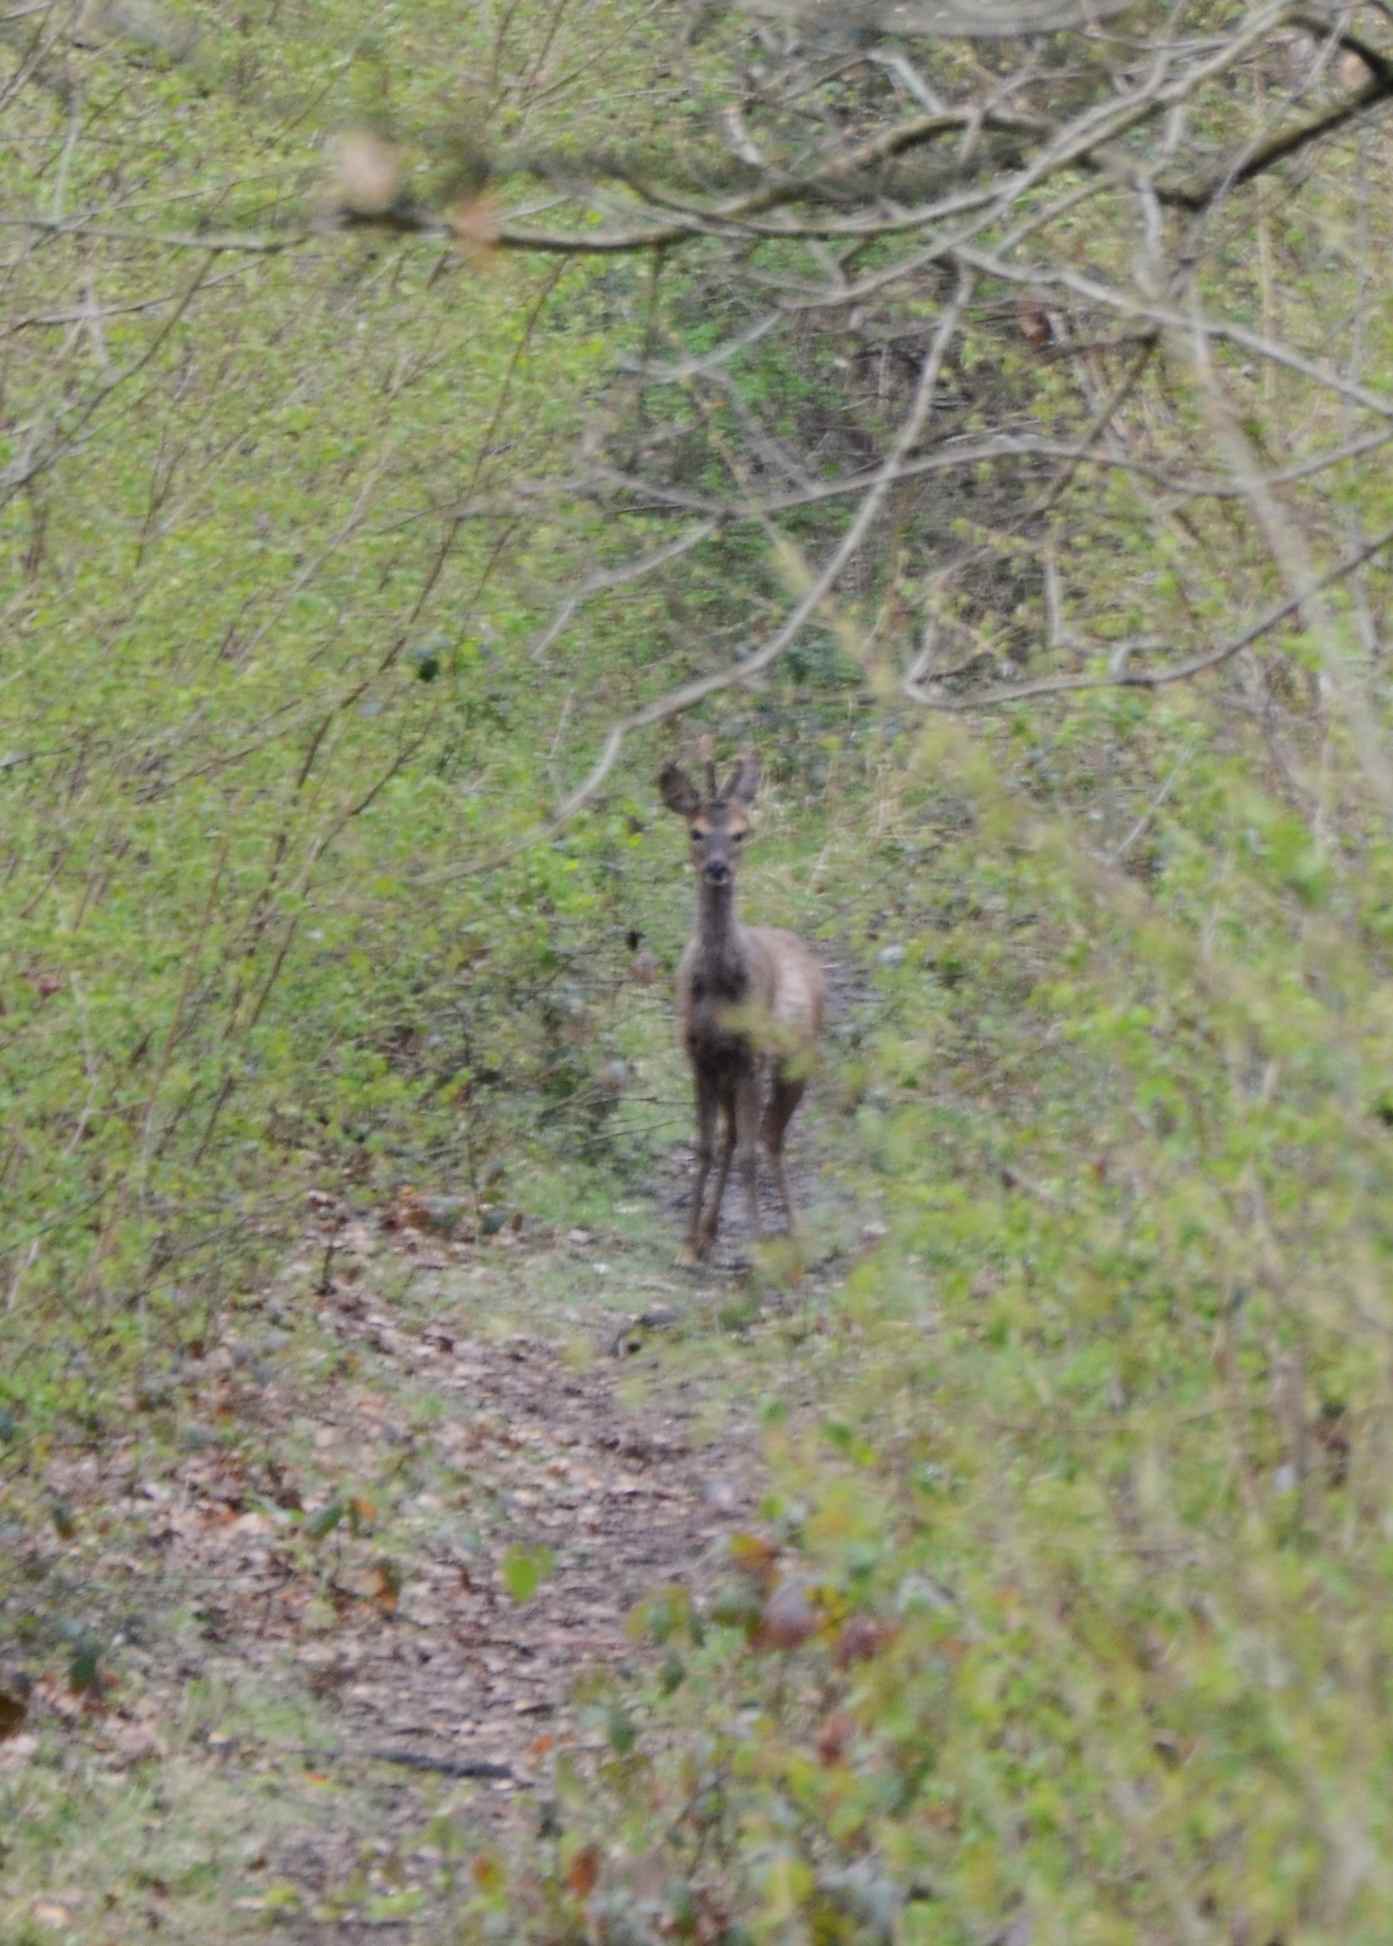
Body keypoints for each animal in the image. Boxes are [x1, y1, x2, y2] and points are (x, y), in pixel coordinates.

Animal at [659, 745, 825, 1264]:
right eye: (694, 831)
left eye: (740, 832)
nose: (717, 868)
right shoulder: (699, 1055)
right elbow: (707, 1147)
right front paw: (687, 1244)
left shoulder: (753, 1056)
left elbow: (751, 1149)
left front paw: (755, 1246)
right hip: (732, 1071)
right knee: (736, 1137)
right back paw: (710, 1233)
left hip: (797, 1058)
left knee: (770, 1139)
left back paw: (795, 1230)